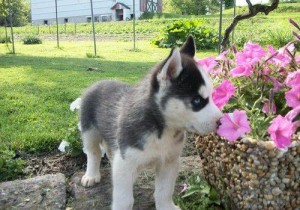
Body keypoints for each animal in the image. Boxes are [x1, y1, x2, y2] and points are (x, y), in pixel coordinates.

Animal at [79, 37, 223, 209]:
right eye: (197, 101)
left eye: (212, 96)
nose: (221, 121)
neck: (161, 131)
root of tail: (99, 81)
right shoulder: (125, 161)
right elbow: (125, 199)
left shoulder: (169, 161)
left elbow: (164, 191)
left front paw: (166, 206)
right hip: (89, 132)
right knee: (93, 153)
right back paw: (91, 175)